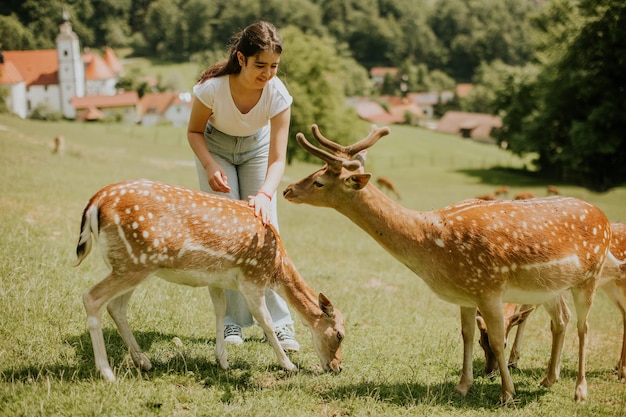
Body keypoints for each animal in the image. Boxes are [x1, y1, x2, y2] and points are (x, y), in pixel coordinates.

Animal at [77, 179, 346, 380]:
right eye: (340, 335)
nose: (337, 367)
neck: (276, 267)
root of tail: (95, 202)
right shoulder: (253, 278)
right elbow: (267, 322)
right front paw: (288, 365)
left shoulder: (216, 280)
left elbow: (219, 312)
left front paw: (223, 361)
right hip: (135, 262)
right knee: (91, 297)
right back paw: (107, 372)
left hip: (132, 264)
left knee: (116, 307)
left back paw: (143, 361)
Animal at [282, 124, 608, 404]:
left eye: (319, 181)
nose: (287, 190)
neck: (432, 245)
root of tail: (602, 216)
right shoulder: (466, 294)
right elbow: (466, 336)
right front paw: (462, 386)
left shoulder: (489, 287)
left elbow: (497, 339)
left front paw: (506, 394)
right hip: (551, 288)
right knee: (561, 320)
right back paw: (548, 379)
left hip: (591, 276)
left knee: (584, 326)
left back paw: (579, 391)